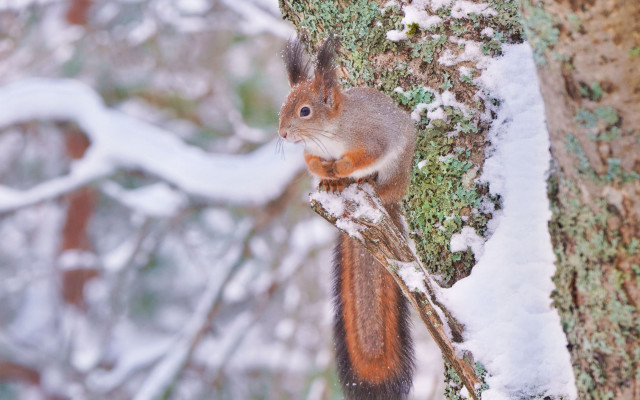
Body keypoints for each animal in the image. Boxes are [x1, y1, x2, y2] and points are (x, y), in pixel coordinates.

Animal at [279, 37, 416, 400]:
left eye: (305, 111)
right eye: (283, 106)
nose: (282, 134)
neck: (329, 135)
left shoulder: (372, 137)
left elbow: (364, 155)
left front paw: (341, 167)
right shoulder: (311, 151)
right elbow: (311, 161)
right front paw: (324, 172)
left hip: (395, 172)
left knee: (379, 181)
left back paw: (363, 182)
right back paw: (333, 183)